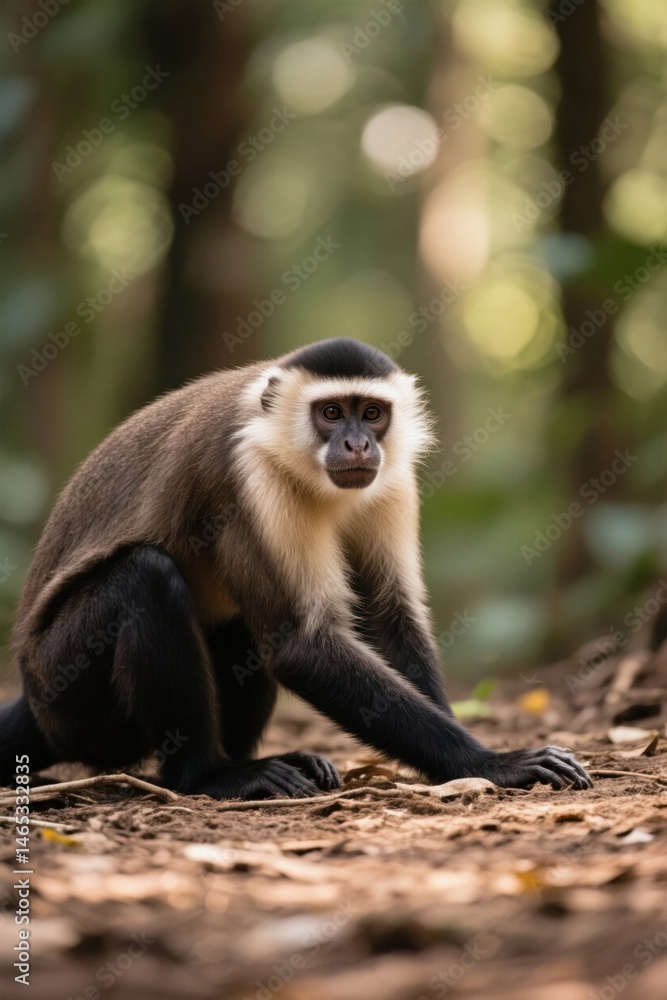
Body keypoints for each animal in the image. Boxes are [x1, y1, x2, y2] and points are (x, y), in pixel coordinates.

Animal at [0, 338, 592, 798]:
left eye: (371, 413)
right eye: (331, 413)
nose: (357, 443)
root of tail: (34, 698)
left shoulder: (391, 479)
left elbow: (389, 616)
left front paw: (457, 769)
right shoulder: (249, 475)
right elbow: (300, 644)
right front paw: (493, 762)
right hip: (68, 696)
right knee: (145, 576)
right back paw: (210, 775)